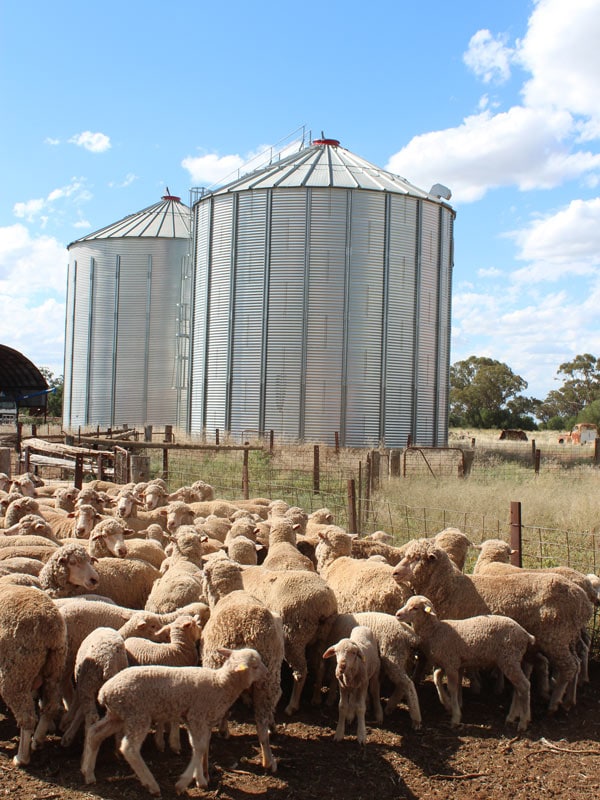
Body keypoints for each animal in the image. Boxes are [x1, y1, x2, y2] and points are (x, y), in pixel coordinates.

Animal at [0, 583, 67, 766]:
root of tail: (51, 626)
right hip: (54, 667)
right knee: (51, 706)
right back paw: (37, 740)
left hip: (16, 672)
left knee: (28, 718)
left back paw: (21, 757)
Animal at [81, 647, 268, 795]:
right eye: (255, 666)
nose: (266, 674)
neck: (221, 685)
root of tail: (104, 692)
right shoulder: (197, 716)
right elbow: (200, 747)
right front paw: (183, 783)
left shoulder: (196, 720)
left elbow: (198, 746)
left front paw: (200, 779)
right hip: (138, 715)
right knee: (129, 748)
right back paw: (151, 784)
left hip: (117, 715)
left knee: (94, 733)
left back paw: (88, 772)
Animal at [241, 565, 338, 715]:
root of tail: (324, 605)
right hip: (322, 636)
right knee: (320, 666)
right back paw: (316, 698)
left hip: (294, 637)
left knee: (301, 672)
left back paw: (292, 705)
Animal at [392, 538, 593, 713]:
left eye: (416, 558)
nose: (394, 573)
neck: (450, 588)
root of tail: (583, 600)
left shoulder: (456, 637)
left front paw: (466, 692)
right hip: (566, 635)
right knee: (575, 662)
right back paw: (569, 699)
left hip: (555, 636)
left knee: (569, 667)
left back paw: (555, 703)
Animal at [395, 595, 535, 731]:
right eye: (406, 604)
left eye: (415, 608)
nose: (397, 614)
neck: (435, 631)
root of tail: (526, 634)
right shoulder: (446, 663)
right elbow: (437, 679)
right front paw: (448, 704)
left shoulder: (451, 663)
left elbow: (452, 688)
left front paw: (455, 717)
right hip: (513, 660)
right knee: (518, 688)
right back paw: (512, 717)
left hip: (509, 659)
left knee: (524, 685)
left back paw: (523, 722)